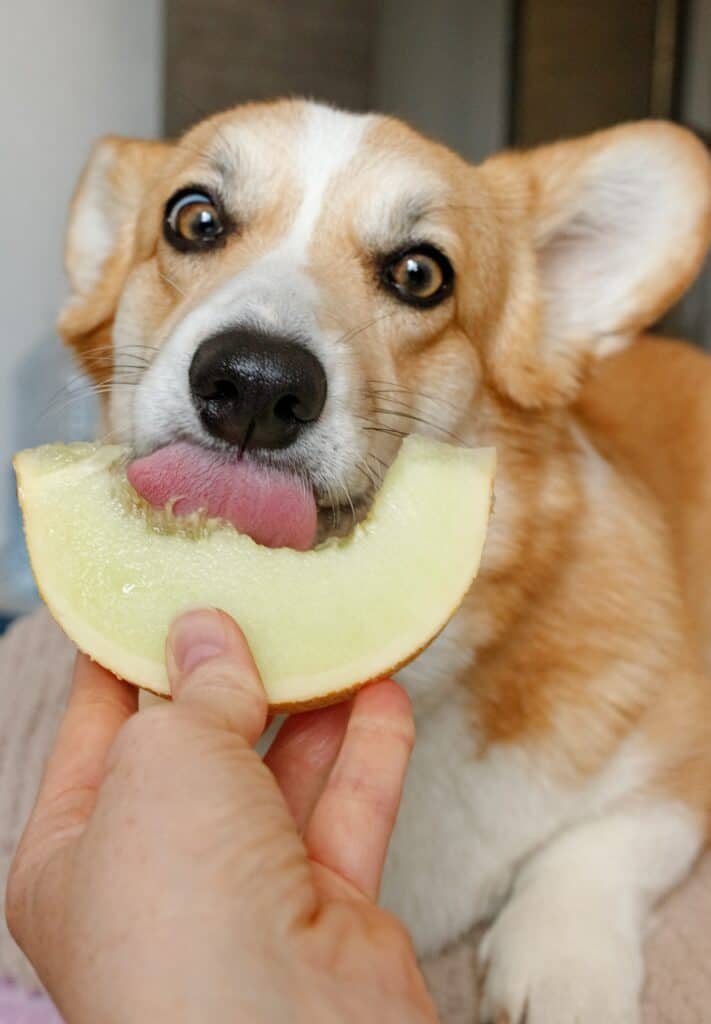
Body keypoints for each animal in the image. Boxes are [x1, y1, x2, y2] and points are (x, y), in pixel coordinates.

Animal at [57, 97, 711, 1024]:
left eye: (419, 274)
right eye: (193, 220)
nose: (253, 383)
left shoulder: (678, 760)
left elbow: (595, 850)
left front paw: (562, 970)